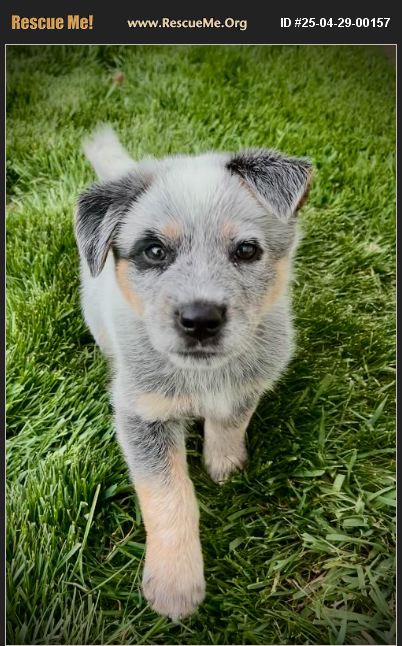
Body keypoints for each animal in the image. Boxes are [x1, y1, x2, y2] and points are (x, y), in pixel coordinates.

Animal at [74, 126, 312, 620]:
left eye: (246, 250)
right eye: (154, 251)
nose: (200, 319)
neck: (204, 378)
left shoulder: (248, 382)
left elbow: (230, 421)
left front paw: (225, 465)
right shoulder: (142, 414)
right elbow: (169, 497)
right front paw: (175, 584)